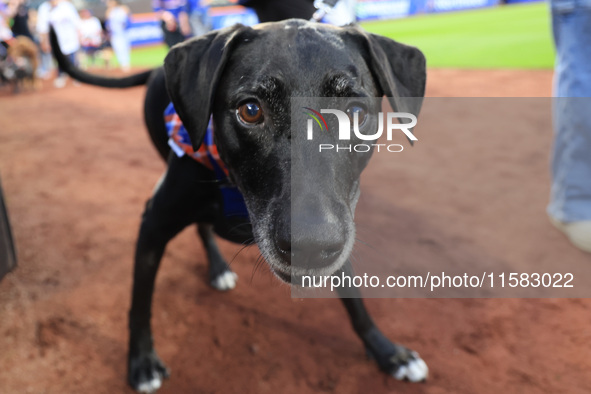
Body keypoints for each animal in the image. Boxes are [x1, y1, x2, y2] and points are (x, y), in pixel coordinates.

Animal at [49, 20, 426, 392]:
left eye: (356, 113)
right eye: (250, 110)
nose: (311, 245)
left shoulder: (340, 226)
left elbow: (354, 300)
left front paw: (388, 352)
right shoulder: (152, 225)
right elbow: (139, 303)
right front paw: (141, 361)